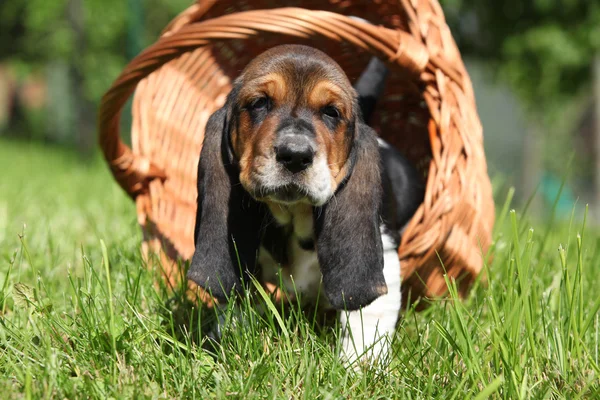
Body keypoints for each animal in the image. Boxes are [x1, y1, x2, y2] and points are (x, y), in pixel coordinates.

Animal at [190, 44, 424, 362]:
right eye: (259, 103)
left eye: (331, 112)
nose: (295, 155)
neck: (293, 215)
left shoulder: (385, 253)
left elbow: (367, 317)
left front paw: (360, 366)